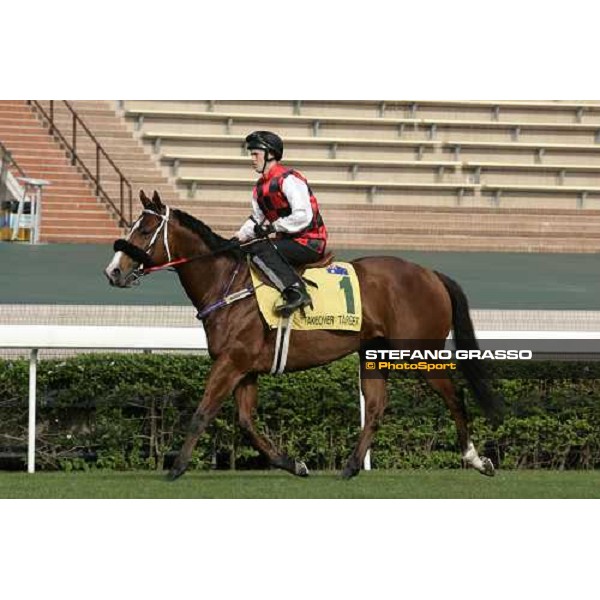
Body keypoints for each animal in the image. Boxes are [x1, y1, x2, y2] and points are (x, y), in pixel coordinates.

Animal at [104, 190, 502, 480]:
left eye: (143, 230)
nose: (113, 272)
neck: (226, 284)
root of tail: (431, 273)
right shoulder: (245, 369)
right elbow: (246, 423)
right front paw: (293, 464)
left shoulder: (231, 363)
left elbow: (202, 412)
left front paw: (176, 467)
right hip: (374, 354)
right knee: (375, 408)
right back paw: (350, 467)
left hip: (418, 353)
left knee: (454, 396)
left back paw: (476, 460)